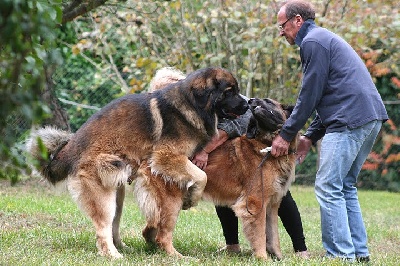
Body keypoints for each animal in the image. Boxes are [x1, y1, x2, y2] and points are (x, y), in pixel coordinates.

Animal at [134, 97, 296, 260]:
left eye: (268, 102)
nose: (251, 100)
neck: (266, 143)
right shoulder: (255, 204)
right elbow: (261, 235)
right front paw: (262, 257)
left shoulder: (272, 205)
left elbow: (274, 236)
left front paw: (278, 257)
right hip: (172, 203)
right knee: (162, 236)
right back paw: (178, 256)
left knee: (150, 230)